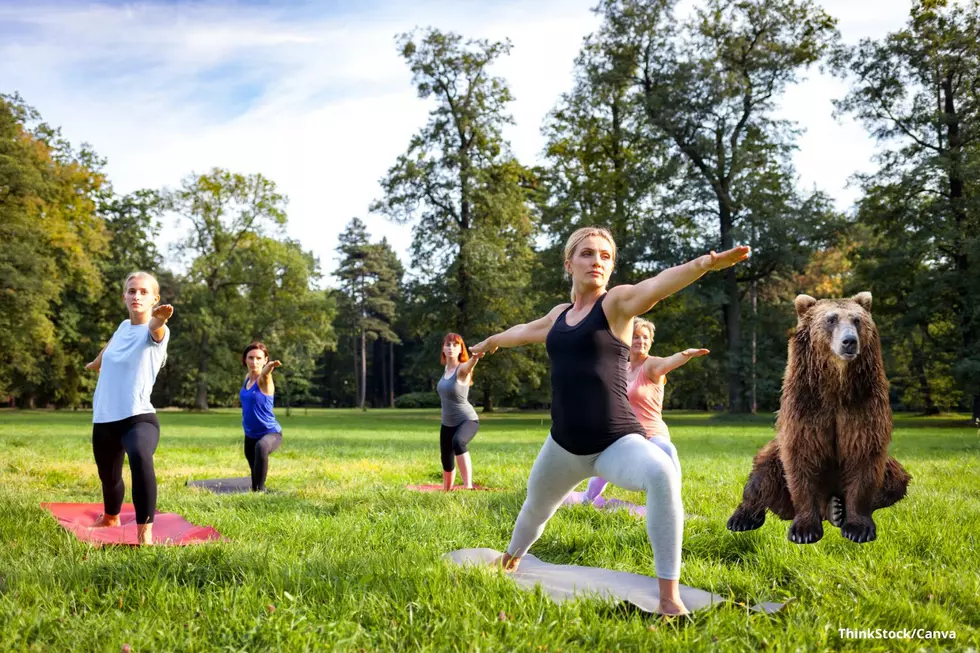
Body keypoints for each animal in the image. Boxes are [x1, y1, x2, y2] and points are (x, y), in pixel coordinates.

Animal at [728, 292, 912, 544]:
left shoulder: (863, 404)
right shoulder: (806, 405)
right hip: (774, 459)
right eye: (831, 319)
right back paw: (742, 518)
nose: (849, 341)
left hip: (890, 469)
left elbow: (864, 456)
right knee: (762, 474)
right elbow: (802, 457)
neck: (835, 385)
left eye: (856, 320)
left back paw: (837, 510)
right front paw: (804, 530)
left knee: (895, 481)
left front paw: (858, 528)